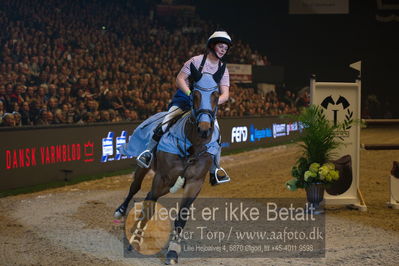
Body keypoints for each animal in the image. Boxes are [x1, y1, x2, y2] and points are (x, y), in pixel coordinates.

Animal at [114, 62, 225, 264]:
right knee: (136, 188)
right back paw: (121, 211)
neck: (192, 146)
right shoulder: (163, 177)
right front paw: (136, 240)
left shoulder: (194, 183)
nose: (204, 130)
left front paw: (173, 252)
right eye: (195, 95)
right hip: (146, 168)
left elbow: (181, 216)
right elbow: (149, 206)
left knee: (148, 195)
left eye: (216, 95)